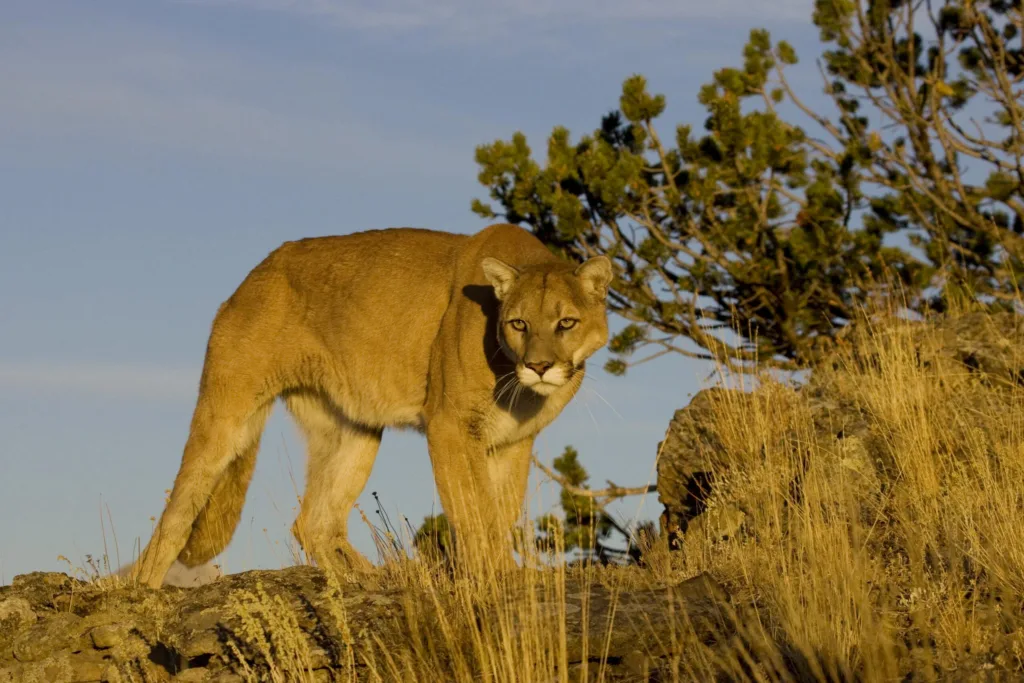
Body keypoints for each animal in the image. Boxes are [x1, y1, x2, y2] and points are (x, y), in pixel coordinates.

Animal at [128, 224, 606, 589]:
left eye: (566, 322)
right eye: (519, 323)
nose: (539, 366)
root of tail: (252, 276)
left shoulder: (513, 441)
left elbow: (500, 510)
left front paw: (501, 572)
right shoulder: (451, 426)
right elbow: (477, 512)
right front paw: (499, 575)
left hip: (353, 428)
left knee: (313, 522)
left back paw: (375, 577)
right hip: (226, 414)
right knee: (174, 518)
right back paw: (143, 592)